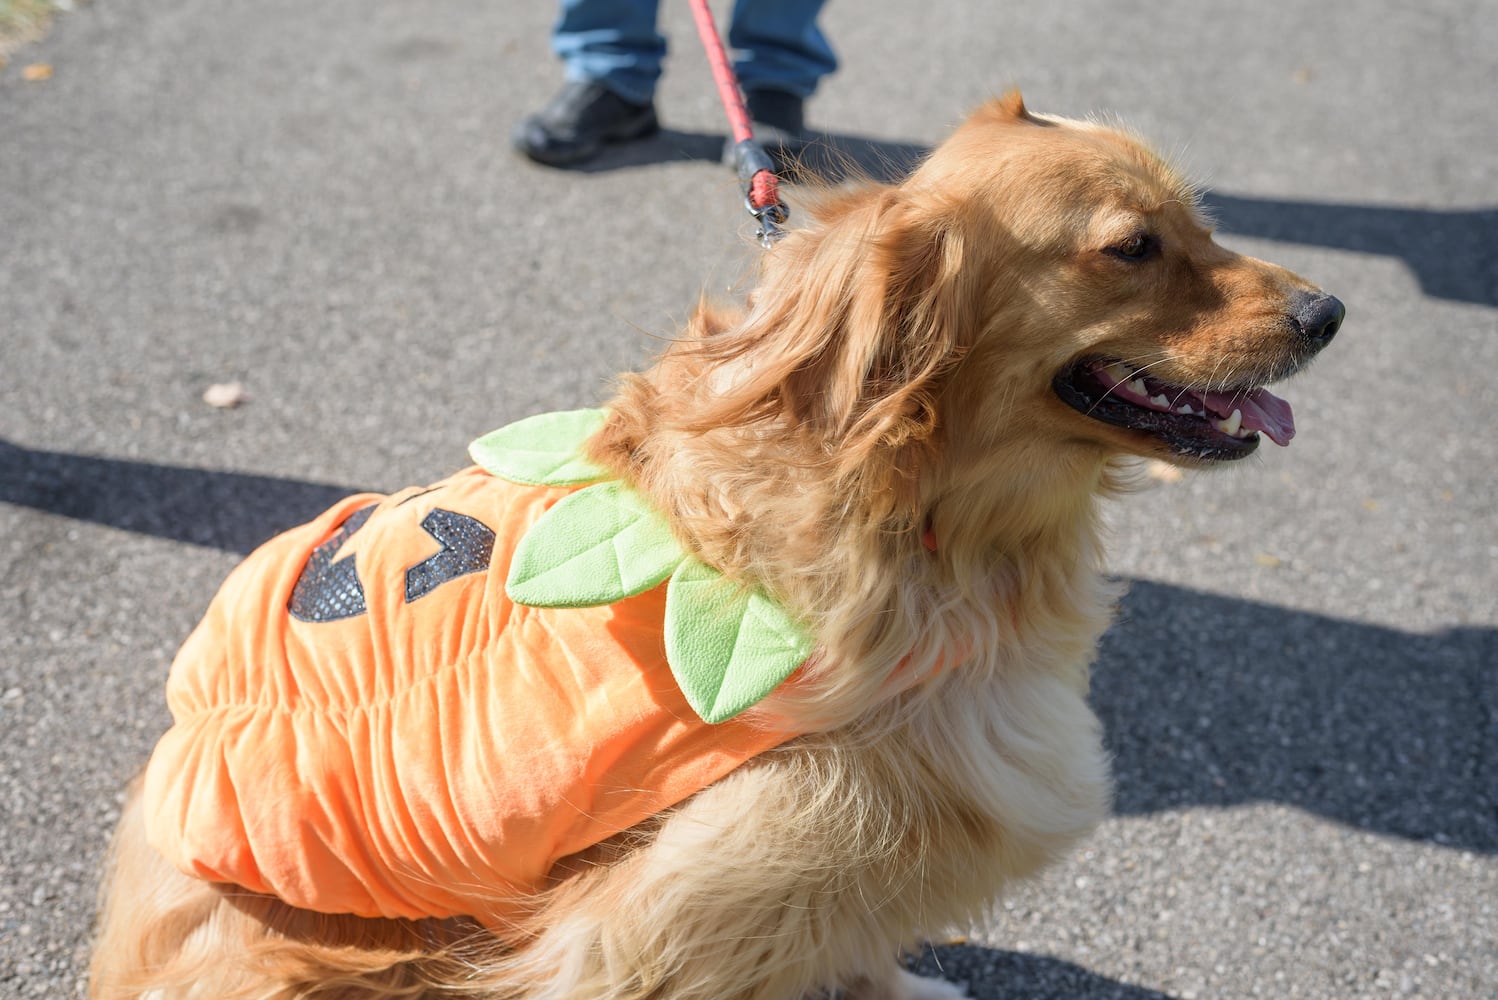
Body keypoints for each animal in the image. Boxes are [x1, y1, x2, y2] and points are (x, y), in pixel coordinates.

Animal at [87, 93, 1342, 999]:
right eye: (1129, 248)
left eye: (1200, 220)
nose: (1328, 313)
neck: (922, 506)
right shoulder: (719, 863)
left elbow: (854, 937)